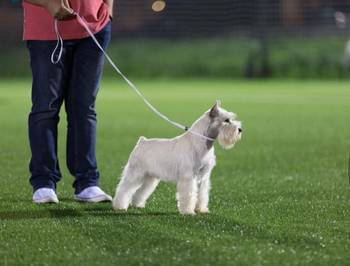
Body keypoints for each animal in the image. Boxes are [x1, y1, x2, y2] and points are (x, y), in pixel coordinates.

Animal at [113, 100, 242, 214]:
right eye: (226, 120)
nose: (240, 129)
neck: (202, 143)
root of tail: (142, 141)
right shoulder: (188, 177)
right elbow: (189, 195)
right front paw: (188, 211)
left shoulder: (203, 178)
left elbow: (202, 195)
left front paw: (201, 209)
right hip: (135, 173)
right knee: (124, 189)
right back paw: (119, 206)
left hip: (150, 177)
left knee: (141, 191)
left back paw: (138, 204)